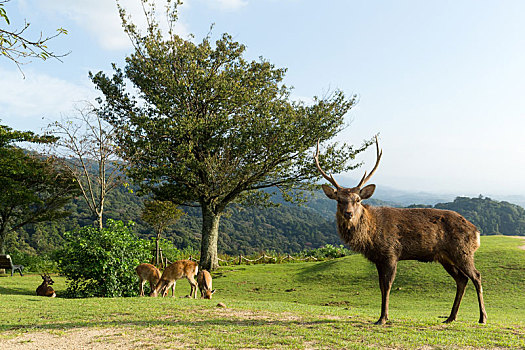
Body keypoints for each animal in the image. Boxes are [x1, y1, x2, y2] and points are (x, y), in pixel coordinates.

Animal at [314, 137, 486, 326]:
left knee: (476, 276)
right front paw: (383, 316)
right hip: (445, 257)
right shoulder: (378, 259)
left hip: (462, 251)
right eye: (339, 200)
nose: (348, 213)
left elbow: (388, 285)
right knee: (462, 279)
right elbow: (381, 286)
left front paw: (383, 318)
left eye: (358, 199)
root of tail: (476, 232)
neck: (371, 236)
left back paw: (482, 317)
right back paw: (450, 317)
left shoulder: (391, 253)